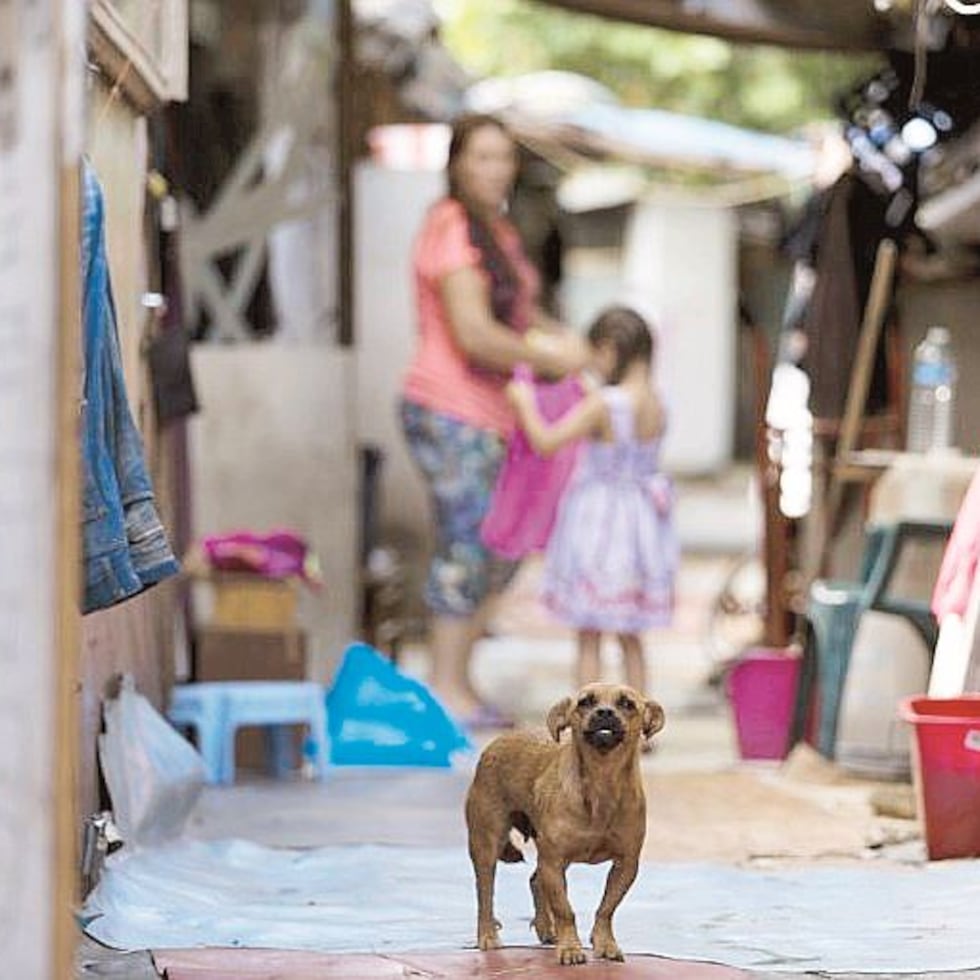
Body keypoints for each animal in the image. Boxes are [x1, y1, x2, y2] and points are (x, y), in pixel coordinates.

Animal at [466, 680, 668, 964]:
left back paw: (546, 928)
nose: (604, 712)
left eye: (627, 703)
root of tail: (499, 741)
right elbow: (564, 909)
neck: (601, 784)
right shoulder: (554, 862)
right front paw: (571, 948)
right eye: (585, 702)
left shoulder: (626, 865)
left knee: (535, 880)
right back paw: (487, 936)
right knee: (485, 894)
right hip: (487, 846)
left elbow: (606, 908)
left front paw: (605, 944)